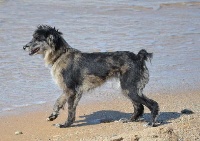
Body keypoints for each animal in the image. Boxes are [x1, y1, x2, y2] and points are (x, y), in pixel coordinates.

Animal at [22, 24, 159, 127]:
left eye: (37, 38)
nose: (24, 47)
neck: (60, 55)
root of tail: (138, 57)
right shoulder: (74, 91)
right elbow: (60, 102)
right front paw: (53, 115)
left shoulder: (71, 90)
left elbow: (68, 109)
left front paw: (65, 124)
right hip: (128, 89)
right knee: (139, 107)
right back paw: (129, 120)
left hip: (129, 88)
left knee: (152, 104)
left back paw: (151, 123)